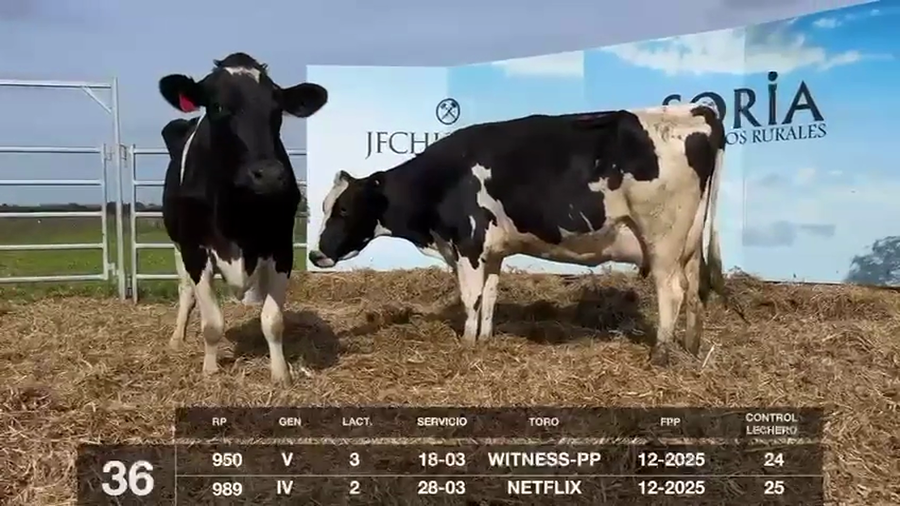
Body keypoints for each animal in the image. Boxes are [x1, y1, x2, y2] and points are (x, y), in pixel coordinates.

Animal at [158, 53, 328, 385]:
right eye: (218, 106)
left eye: (277, 109)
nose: (270, 175)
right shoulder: (195, 249)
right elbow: (212, 322)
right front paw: (210, 369)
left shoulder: (281, 246)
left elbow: (272, 319)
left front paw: (280, 373)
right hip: (176, 245)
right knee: (186, 292)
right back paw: (176, 338)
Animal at [308, 104, 740, 366]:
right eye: (325, 207)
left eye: (343, 209)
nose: (315, 255)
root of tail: (693, 110)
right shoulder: (491, 251)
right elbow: (490, 297)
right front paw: (483, 341)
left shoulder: (468, 244)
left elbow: (470, 299)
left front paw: (466, 346)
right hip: (687, 240)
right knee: (695, 288)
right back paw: (691, 345)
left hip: (661, 237)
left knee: (672, 291)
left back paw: (662, 354)